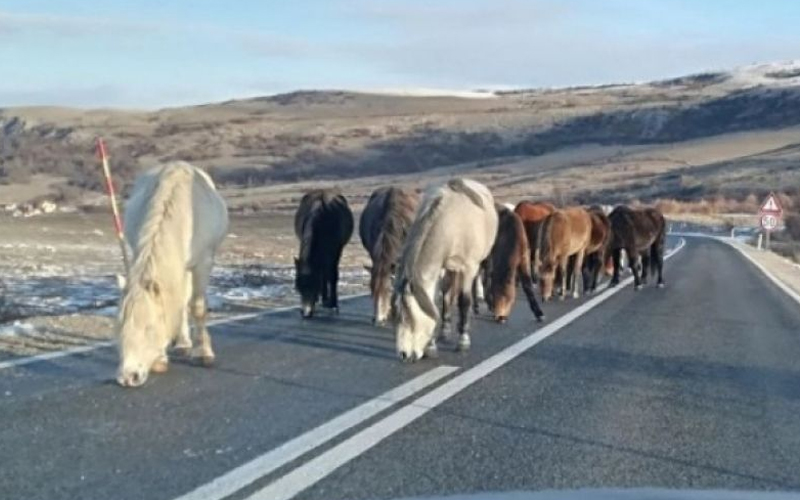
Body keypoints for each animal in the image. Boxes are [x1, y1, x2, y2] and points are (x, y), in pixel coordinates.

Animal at [115, 162, 228, 388]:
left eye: (149, 328)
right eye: (119, 327)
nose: (127, 377)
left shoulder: (203, 263)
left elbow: (198, 307)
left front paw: (203, 353)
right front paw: (160, 359)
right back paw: (183, 343)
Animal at [294, 189, 354, 318]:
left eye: (314, 285)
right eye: (298, 287)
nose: (306, 313)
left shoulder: (336, 251)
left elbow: (333, 275)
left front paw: (334, 304)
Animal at [392, 178, 496, 362]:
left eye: (408, 316)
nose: (403, 354)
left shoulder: (468, 268)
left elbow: (464, 301)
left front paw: (463, 341)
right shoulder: (438, 268)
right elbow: (434, 301)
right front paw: (431, 346)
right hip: (450, 269)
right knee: (447, 294)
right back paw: (446, 330)